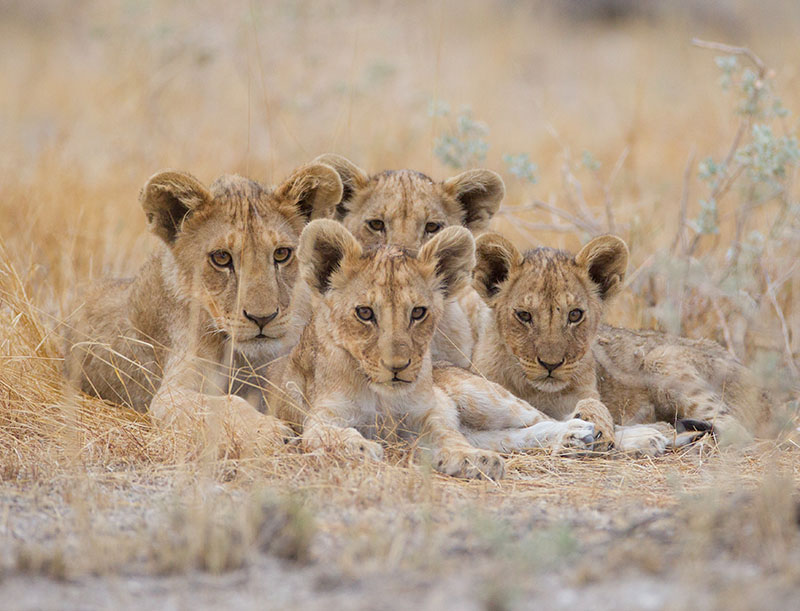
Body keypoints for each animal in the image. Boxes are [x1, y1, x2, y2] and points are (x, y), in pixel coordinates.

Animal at [63, 162, 344, 454]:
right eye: (221, 258)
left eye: (281, 254)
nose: (262, 318)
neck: (246, 361)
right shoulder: (170, 394)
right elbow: (224, 404)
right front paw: (271, 431)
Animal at [269, 220, 597, 479]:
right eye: (364, 313)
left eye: (418, 312)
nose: (397, 367)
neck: (381, 395)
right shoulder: (320, 417)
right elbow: (329, 434)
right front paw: (361, 447)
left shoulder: (429, 412)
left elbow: (448, 435)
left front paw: (474, 460)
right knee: (512, 436)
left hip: (483, 396)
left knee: (540, 419)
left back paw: (583, 432)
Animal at [459, 232, 770, 454]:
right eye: (524, 315)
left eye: (575, 314)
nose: (551, 365)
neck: (535, 390)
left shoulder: (584, 393)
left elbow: (593, 408)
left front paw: (599, 429)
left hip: (662, 359)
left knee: (735, 429)